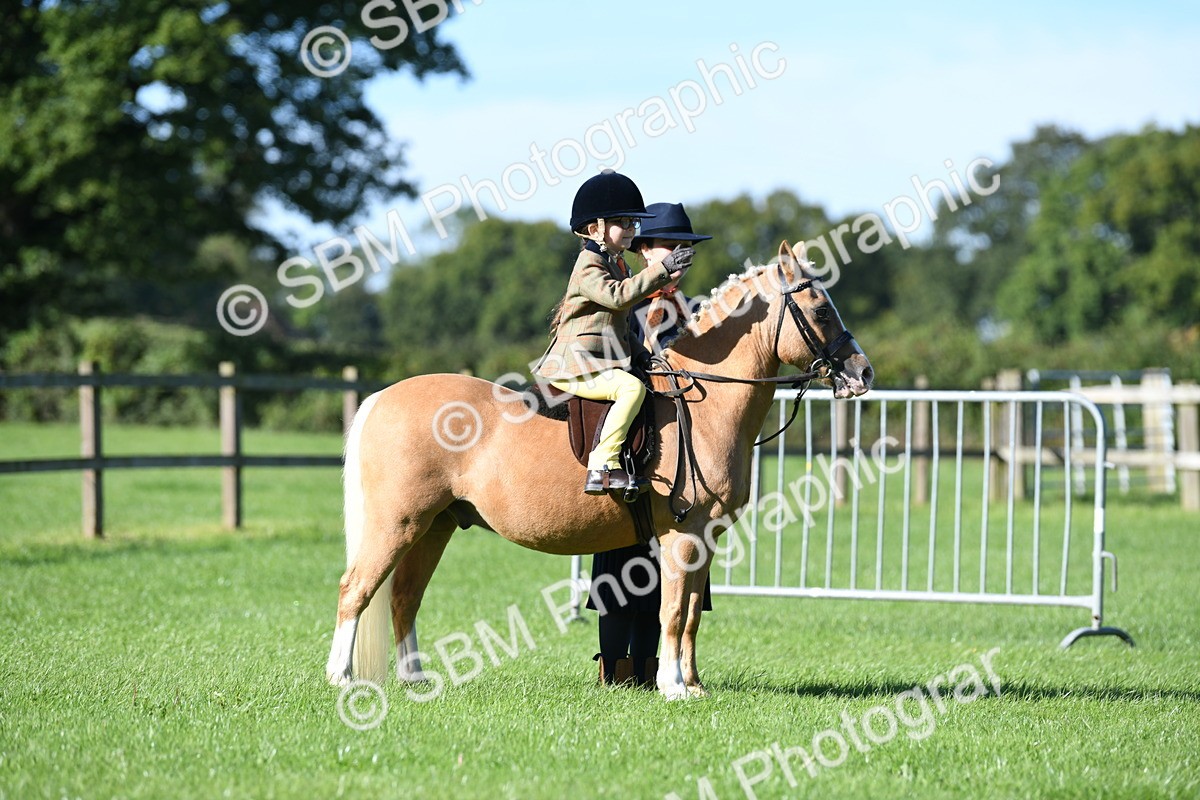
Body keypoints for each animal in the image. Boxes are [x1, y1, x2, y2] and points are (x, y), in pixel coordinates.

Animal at [326, 240, 874, 700]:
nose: (863, 372)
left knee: (404, 598)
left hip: (435, 526)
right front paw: (674, 687)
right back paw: (342, 678)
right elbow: (672, 611)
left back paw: (415, 679)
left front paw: (694, 685)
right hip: (398, 524)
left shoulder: (706, 538)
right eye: (821, 310)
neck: (705, 401)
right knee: (356, 590)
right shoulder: (683, 536)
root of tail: (382, 396)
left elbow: (691, 617)